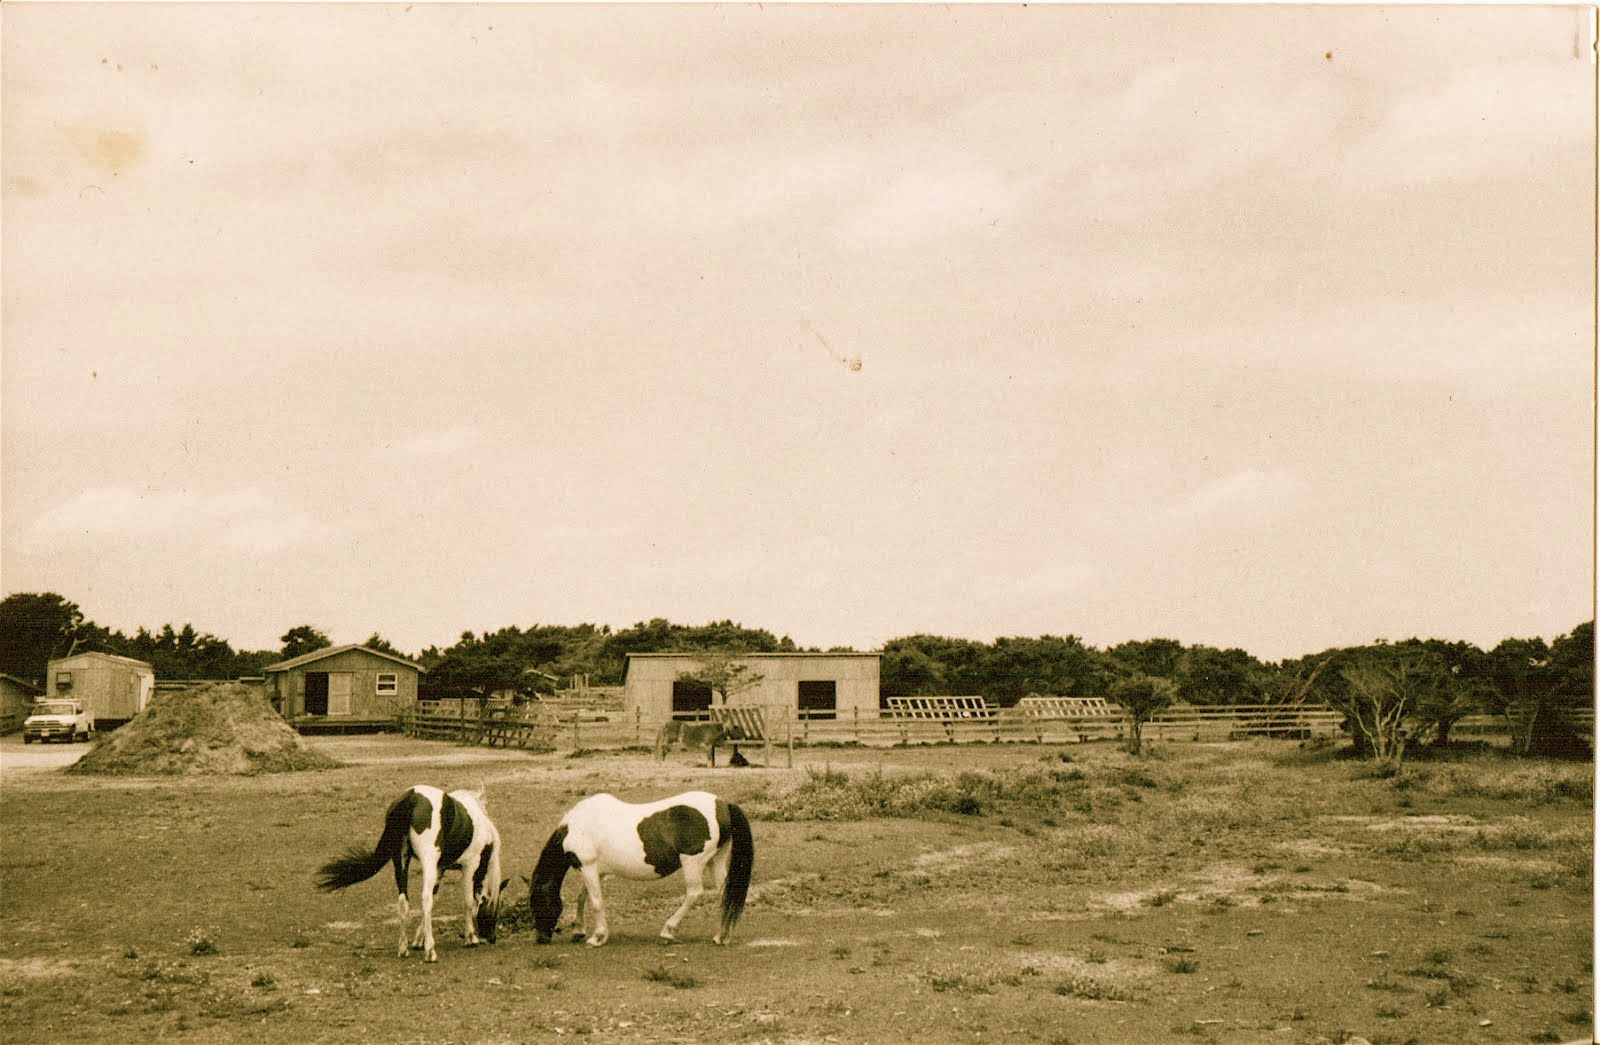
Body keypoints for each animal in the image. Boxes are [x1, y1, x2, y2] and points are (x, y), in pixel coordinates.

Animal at [313, 780, 505, 960]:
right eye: (496, 904)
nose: (492, 938)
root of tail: (411, 797)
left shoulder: (440, 868)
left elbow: (436, 899)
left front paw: (418, 940)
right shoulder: (469, 866)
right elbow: (467, 901)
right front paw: (470, 938)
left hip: (401, 861)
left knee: (403, 901)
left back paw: (403, 948)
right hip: (426, 860)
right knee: (425, 898)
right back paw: (430, 952)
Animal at [524, 790, 748, 947]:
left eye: (537, 901)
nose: (541, 938)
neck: (576, 827)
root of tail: (723, 805)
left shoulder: (587, 867)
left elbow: (596, 902)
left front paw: (598, 937)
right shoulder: (596, 871)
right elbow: (582, 898)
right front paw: (579, 931)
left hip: (693, 864)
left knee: (694, 893)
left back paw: (668, 931)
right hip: (715, 861)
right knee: (726, 893)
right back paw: (722, 936)